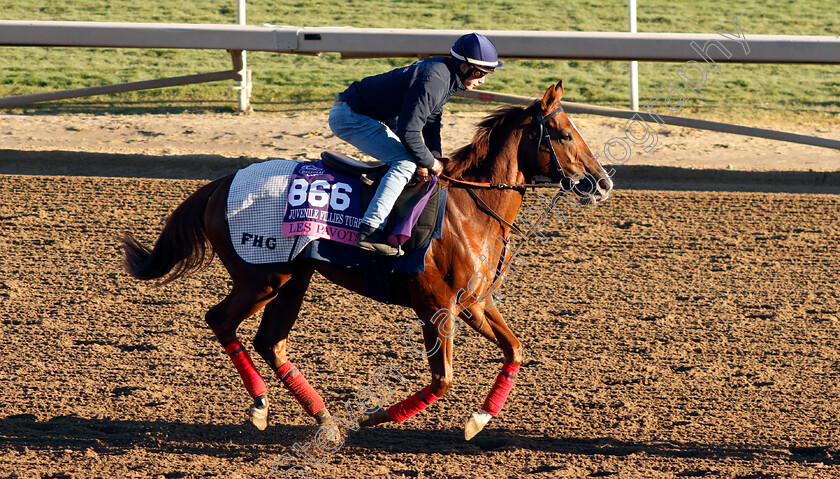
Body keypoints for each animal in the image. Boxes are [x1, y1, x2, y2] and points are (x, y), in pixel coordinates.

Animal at [121, 80, 612, 440]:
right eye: (565, 134)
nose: (603, 182)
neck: (470, 208)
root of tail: (221, 183)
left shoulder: (474, 302)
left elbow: (515, 349)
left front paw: (479, 421)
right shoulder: (436, 306)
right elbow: (443, 379)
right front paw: (374, 418)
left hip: (295, 278)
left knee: (271, 341)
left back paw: (324, 420)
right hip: (264, 277)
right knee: (221, 321)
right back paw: (261, 406)